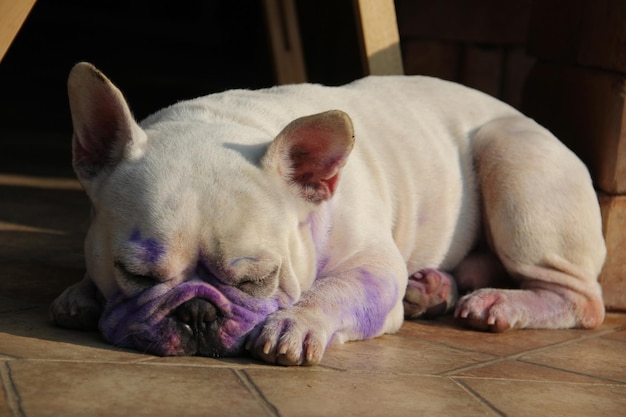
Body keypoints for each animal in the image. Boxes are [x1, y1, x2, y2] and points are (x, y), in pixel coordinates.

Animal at [50, 61, 604, 364]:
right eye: (135, 274)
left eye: (258, 279)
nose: (198, 312)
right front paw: (81, 293)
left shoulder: (375, 266)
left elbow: (336, 289)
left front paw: (295, 324)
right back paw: (433, 289)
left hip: (513, 158)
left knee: (582, 300)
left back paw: (501, 304)